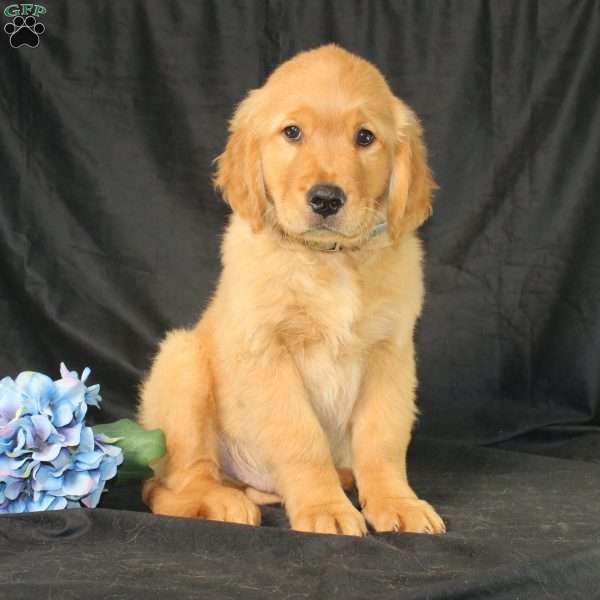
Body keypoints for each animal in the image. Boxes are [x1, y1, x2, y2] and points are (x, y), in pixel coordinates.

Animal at [136, 44, 446, 536]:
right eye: (292, 132)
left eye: (365, 137)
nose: (326, 199)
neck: (330, 259)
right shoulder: (268, 350)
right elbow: (301, 438)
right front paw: (325, 508)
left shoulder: (390, 352)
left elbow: (383, 438)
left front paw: (396, 501)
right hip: (181, 363)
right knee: (167, 486)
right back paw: (220, 502)